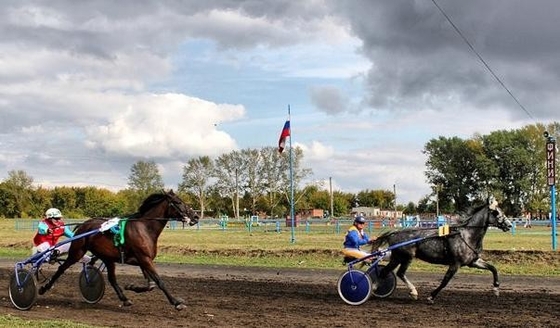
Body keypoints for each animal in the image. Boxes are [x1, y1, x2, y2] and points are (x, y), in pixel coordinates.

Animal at [37, 190, 199, 310]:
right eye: (178, 202)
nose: (196, 216)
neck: (145, 228)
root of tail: (83, 225)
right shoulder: (144, 259)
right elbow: (159, 281)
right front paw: (176, 302)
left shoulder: (143, 260)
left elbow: (151, 285)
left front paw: (131, 286)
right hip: (77, 252)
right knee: (61, 269)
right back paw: (44, 288)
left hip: (107, 258)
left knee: (111, 278)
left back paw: (125, 299)